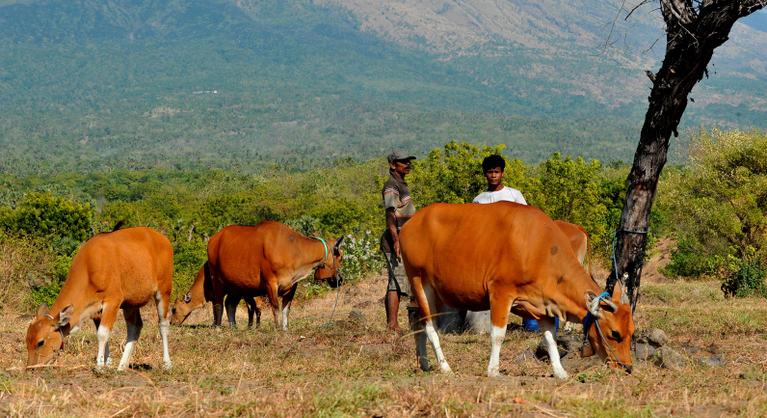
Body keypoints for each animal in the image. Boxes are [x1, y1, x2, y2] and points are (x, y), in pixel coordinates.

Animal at [25, 227, 174, 370]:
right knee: (135, 326)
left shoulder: (113, 301)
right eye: (27, 341)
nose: (30, 367)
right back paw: (122, 366)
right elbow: (101, 332)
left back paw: (167, 364)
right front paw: (106, 362)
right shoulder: (96, 309)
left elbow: (102, 333)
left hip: (164, 290)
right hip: (130, 303)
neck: (89, 266)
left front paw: (99, 366)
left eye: (40, 342)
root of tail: (163, 239)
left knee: (163, 324)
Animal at [402, 202, 636, 378]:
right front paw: (493, 370)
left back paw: (424, 363)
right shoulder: (500, 292)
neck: (539, 248)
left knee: (416, 319)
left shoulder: (543, 303)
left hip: (434, 290)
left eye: (631, 332)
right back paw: (445, 367)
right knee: (430, 327)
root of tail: (411, 223)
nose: (627, 367)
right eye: (614, 333)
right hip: (418, 281)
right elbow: (498, 335)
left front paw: (559, 371)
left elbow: (550, 338)